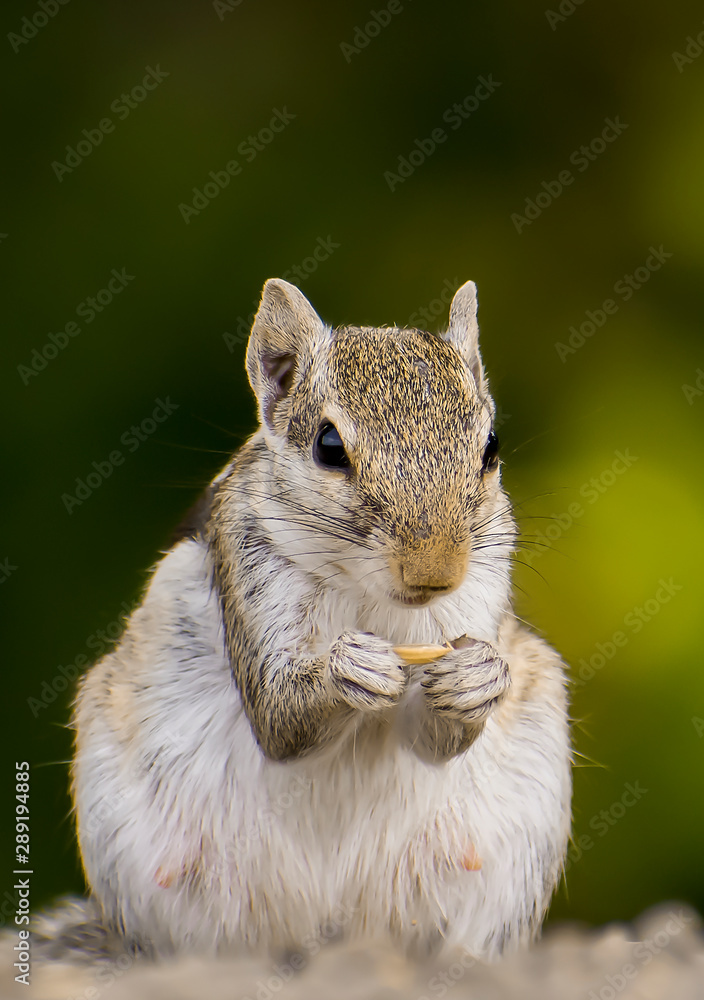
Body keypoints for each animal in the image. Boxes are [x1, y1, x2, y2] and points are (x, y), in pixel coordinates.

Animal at [65, 278, 571, 961]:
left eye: (490, 448)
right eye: (328, 447)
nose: (436, 572)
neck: (370, 596)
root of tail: (325, 931)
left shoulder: (479, 594)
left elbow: (437, 740)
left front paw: (479, 677)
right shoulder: (249, 569)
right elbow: (279, 718)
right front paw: (350, 668)